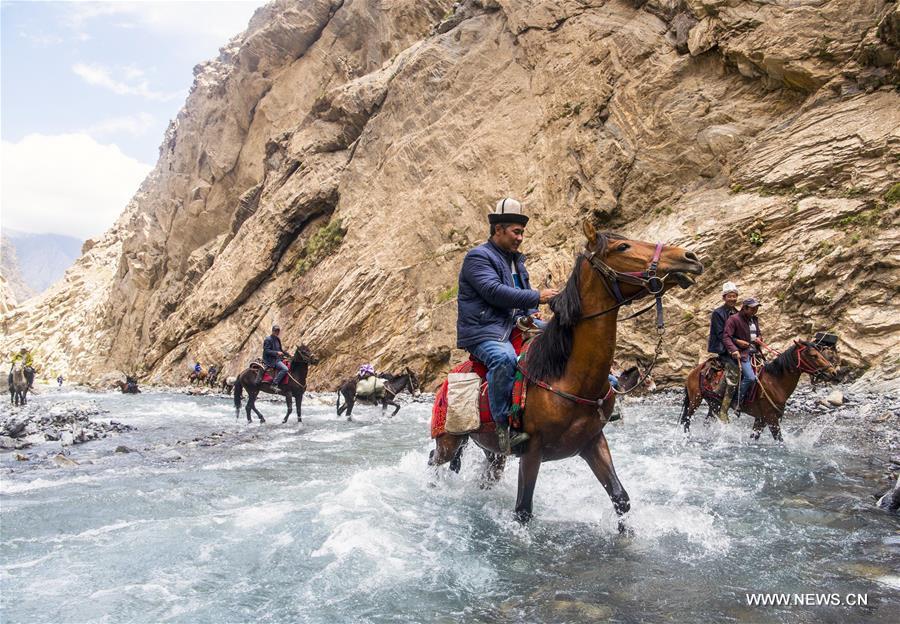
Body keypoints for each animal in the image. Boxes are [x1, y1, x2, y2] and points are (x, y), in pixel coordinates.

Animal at [428, 224, 704, 528]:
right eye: (623, 247)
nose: (690, 257)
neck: (568, 377)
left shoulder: (592, 442)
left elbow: (620, 497)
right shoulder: (532, 451)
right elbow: (523, 509)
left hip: (493, 451)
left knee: (488, 474)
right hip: (449, 441)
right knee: (434, 459)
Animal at [684, 344, 840, 442]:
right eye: (813, 355)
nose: (833, 372)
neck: (775, 382)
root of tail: (695, 370)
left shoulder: (761, 419)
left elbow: (754, 437)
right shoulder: (770, 417)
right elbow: (780, 440)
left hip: (714, 404)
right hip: (695, 400)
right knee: (687, 420)